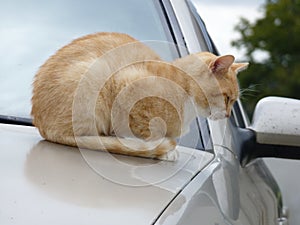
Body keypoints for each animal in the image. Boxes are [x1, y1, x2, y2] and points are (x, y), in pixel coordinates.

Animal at [31, 32, 248, 161]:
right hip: (95, 77)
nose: (228, 115)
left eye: (233, 101)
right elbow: (147, 131)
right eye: (227, 98)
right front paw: (162, 149)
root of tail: (42, 127)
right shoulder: (126, 86)